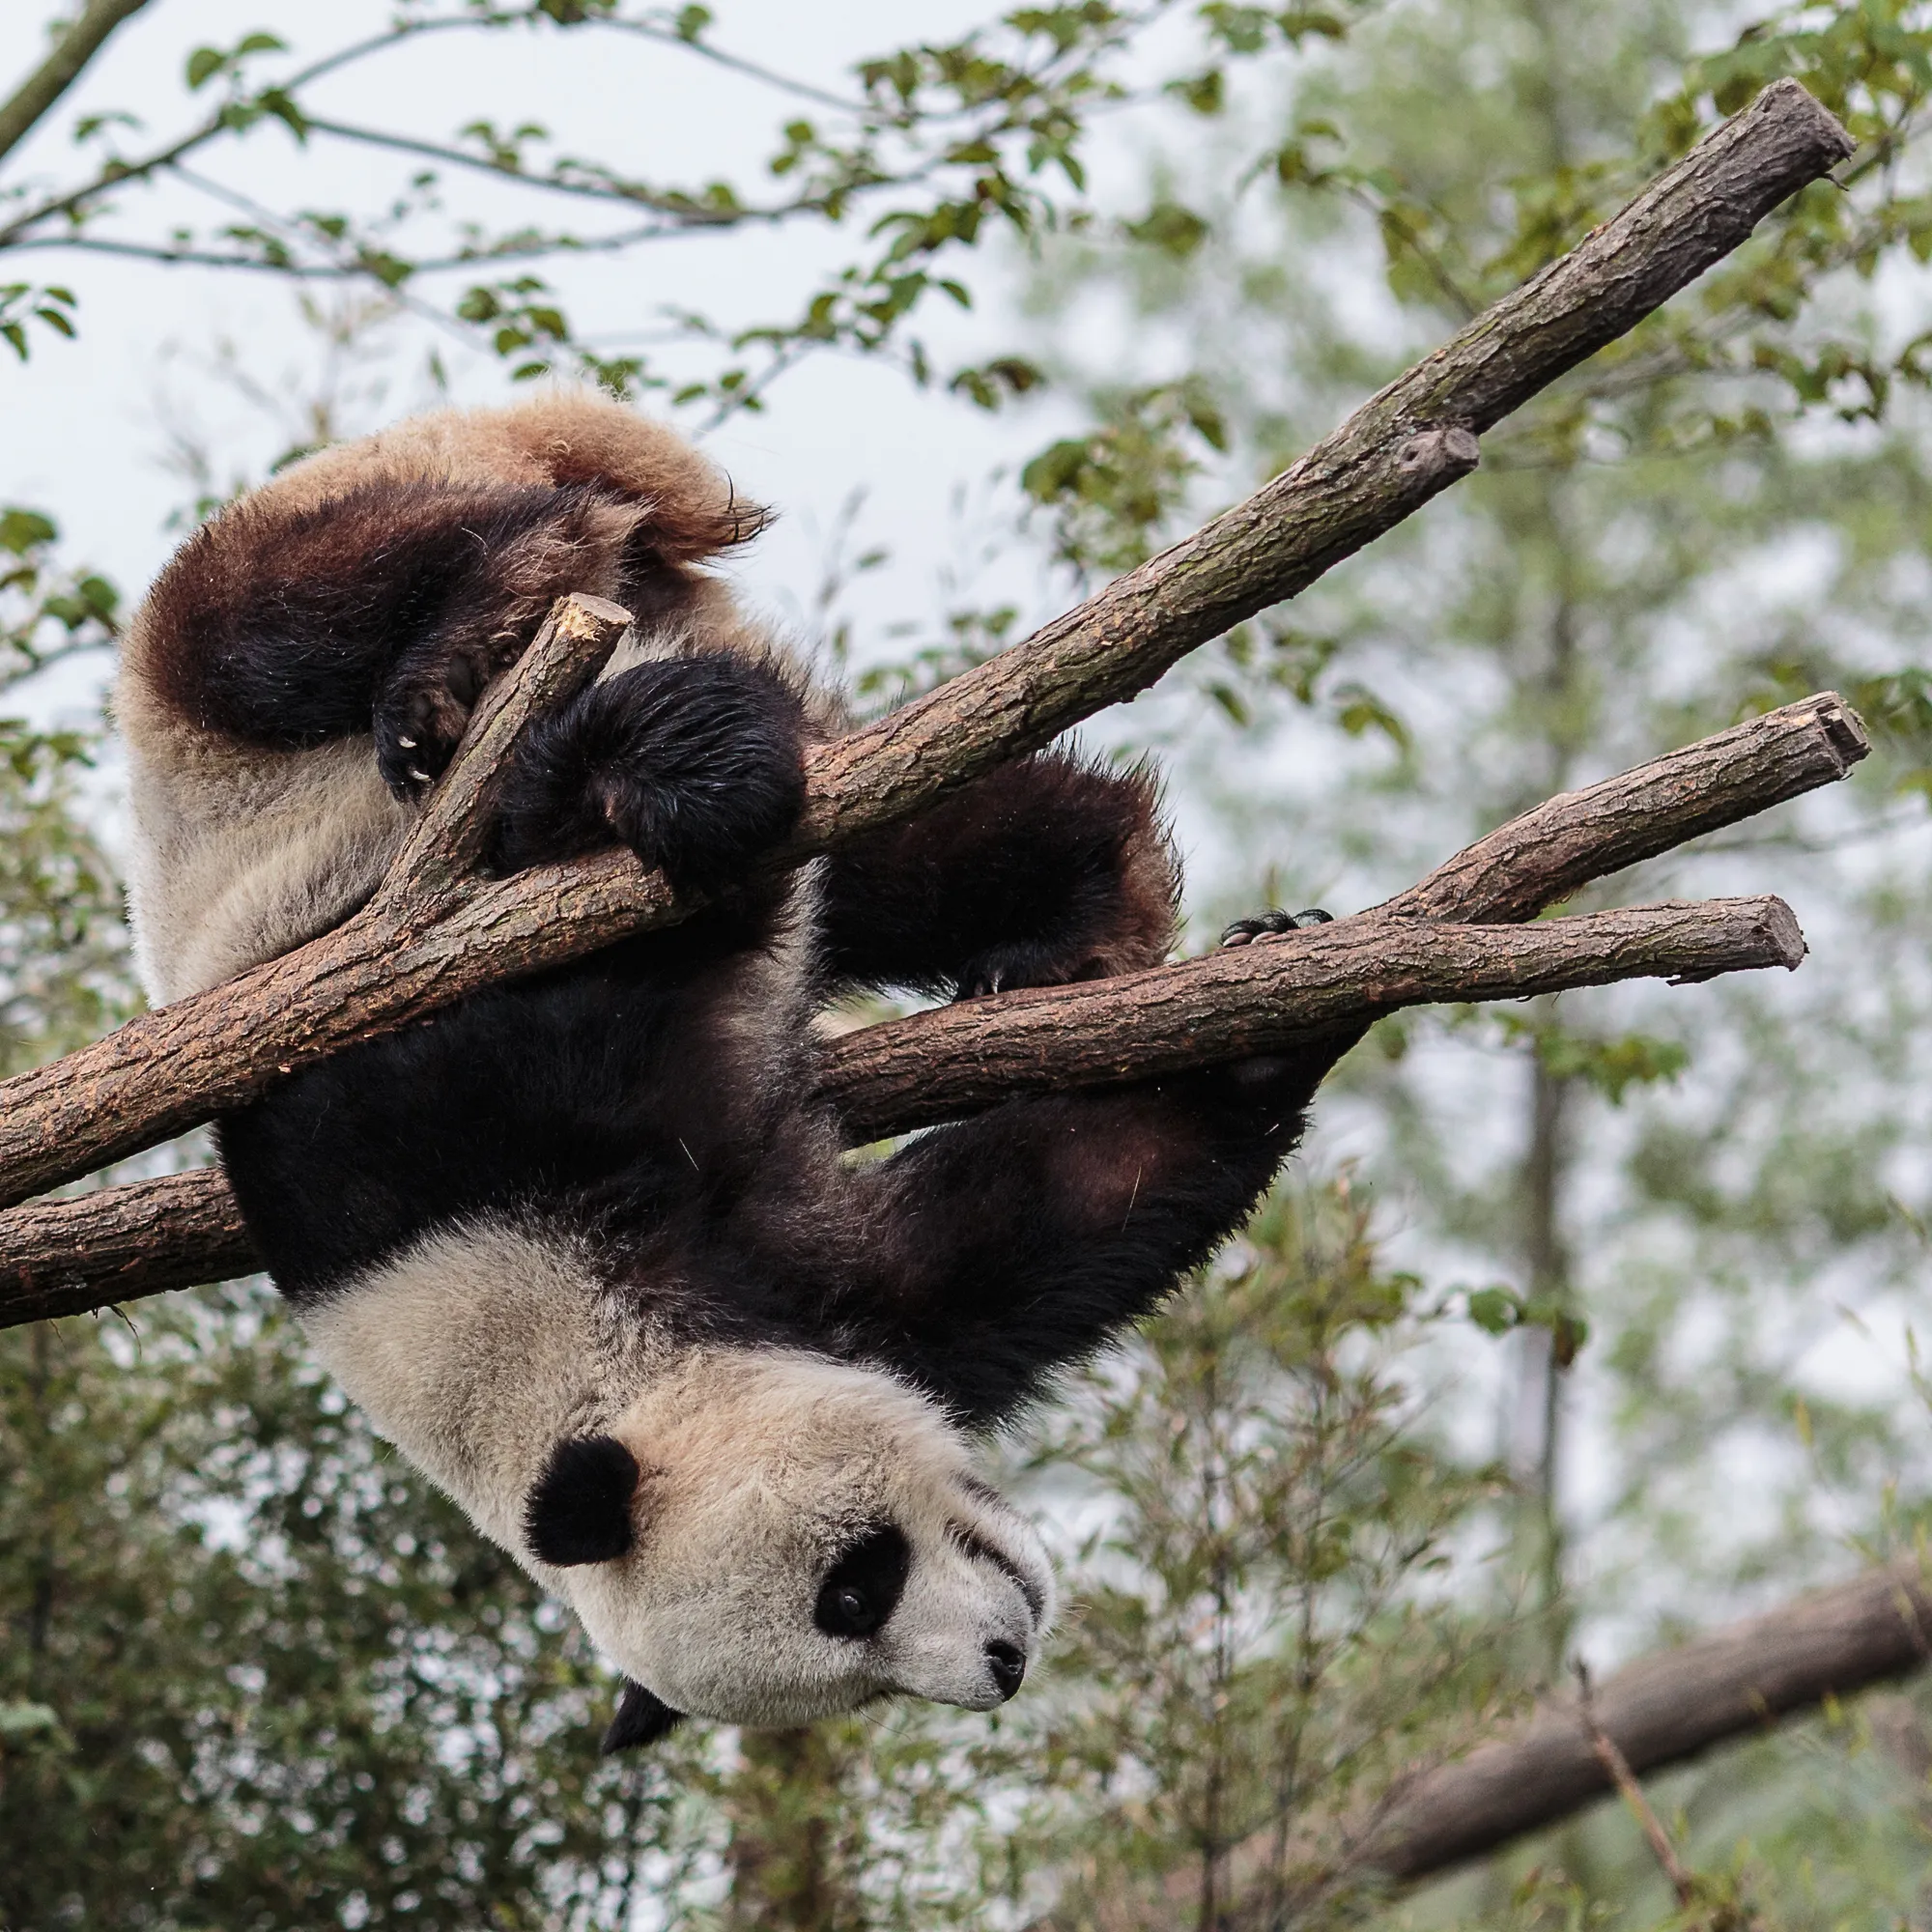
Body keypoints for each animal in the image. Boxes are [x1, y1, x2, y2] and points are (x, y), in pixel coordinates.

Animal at [115, 391, 1325, 1751]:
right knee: (889, 845)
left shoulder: (445, 1087)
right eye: (855, 1637)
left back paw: (488, 641)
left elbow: (556, 870)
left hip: (284, 629)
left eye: (855, 1579)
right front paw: (1250, 1054)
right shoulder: (820, 1304)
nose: (1002, 1659)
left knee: (308, 621)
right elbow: (1021, 1221)